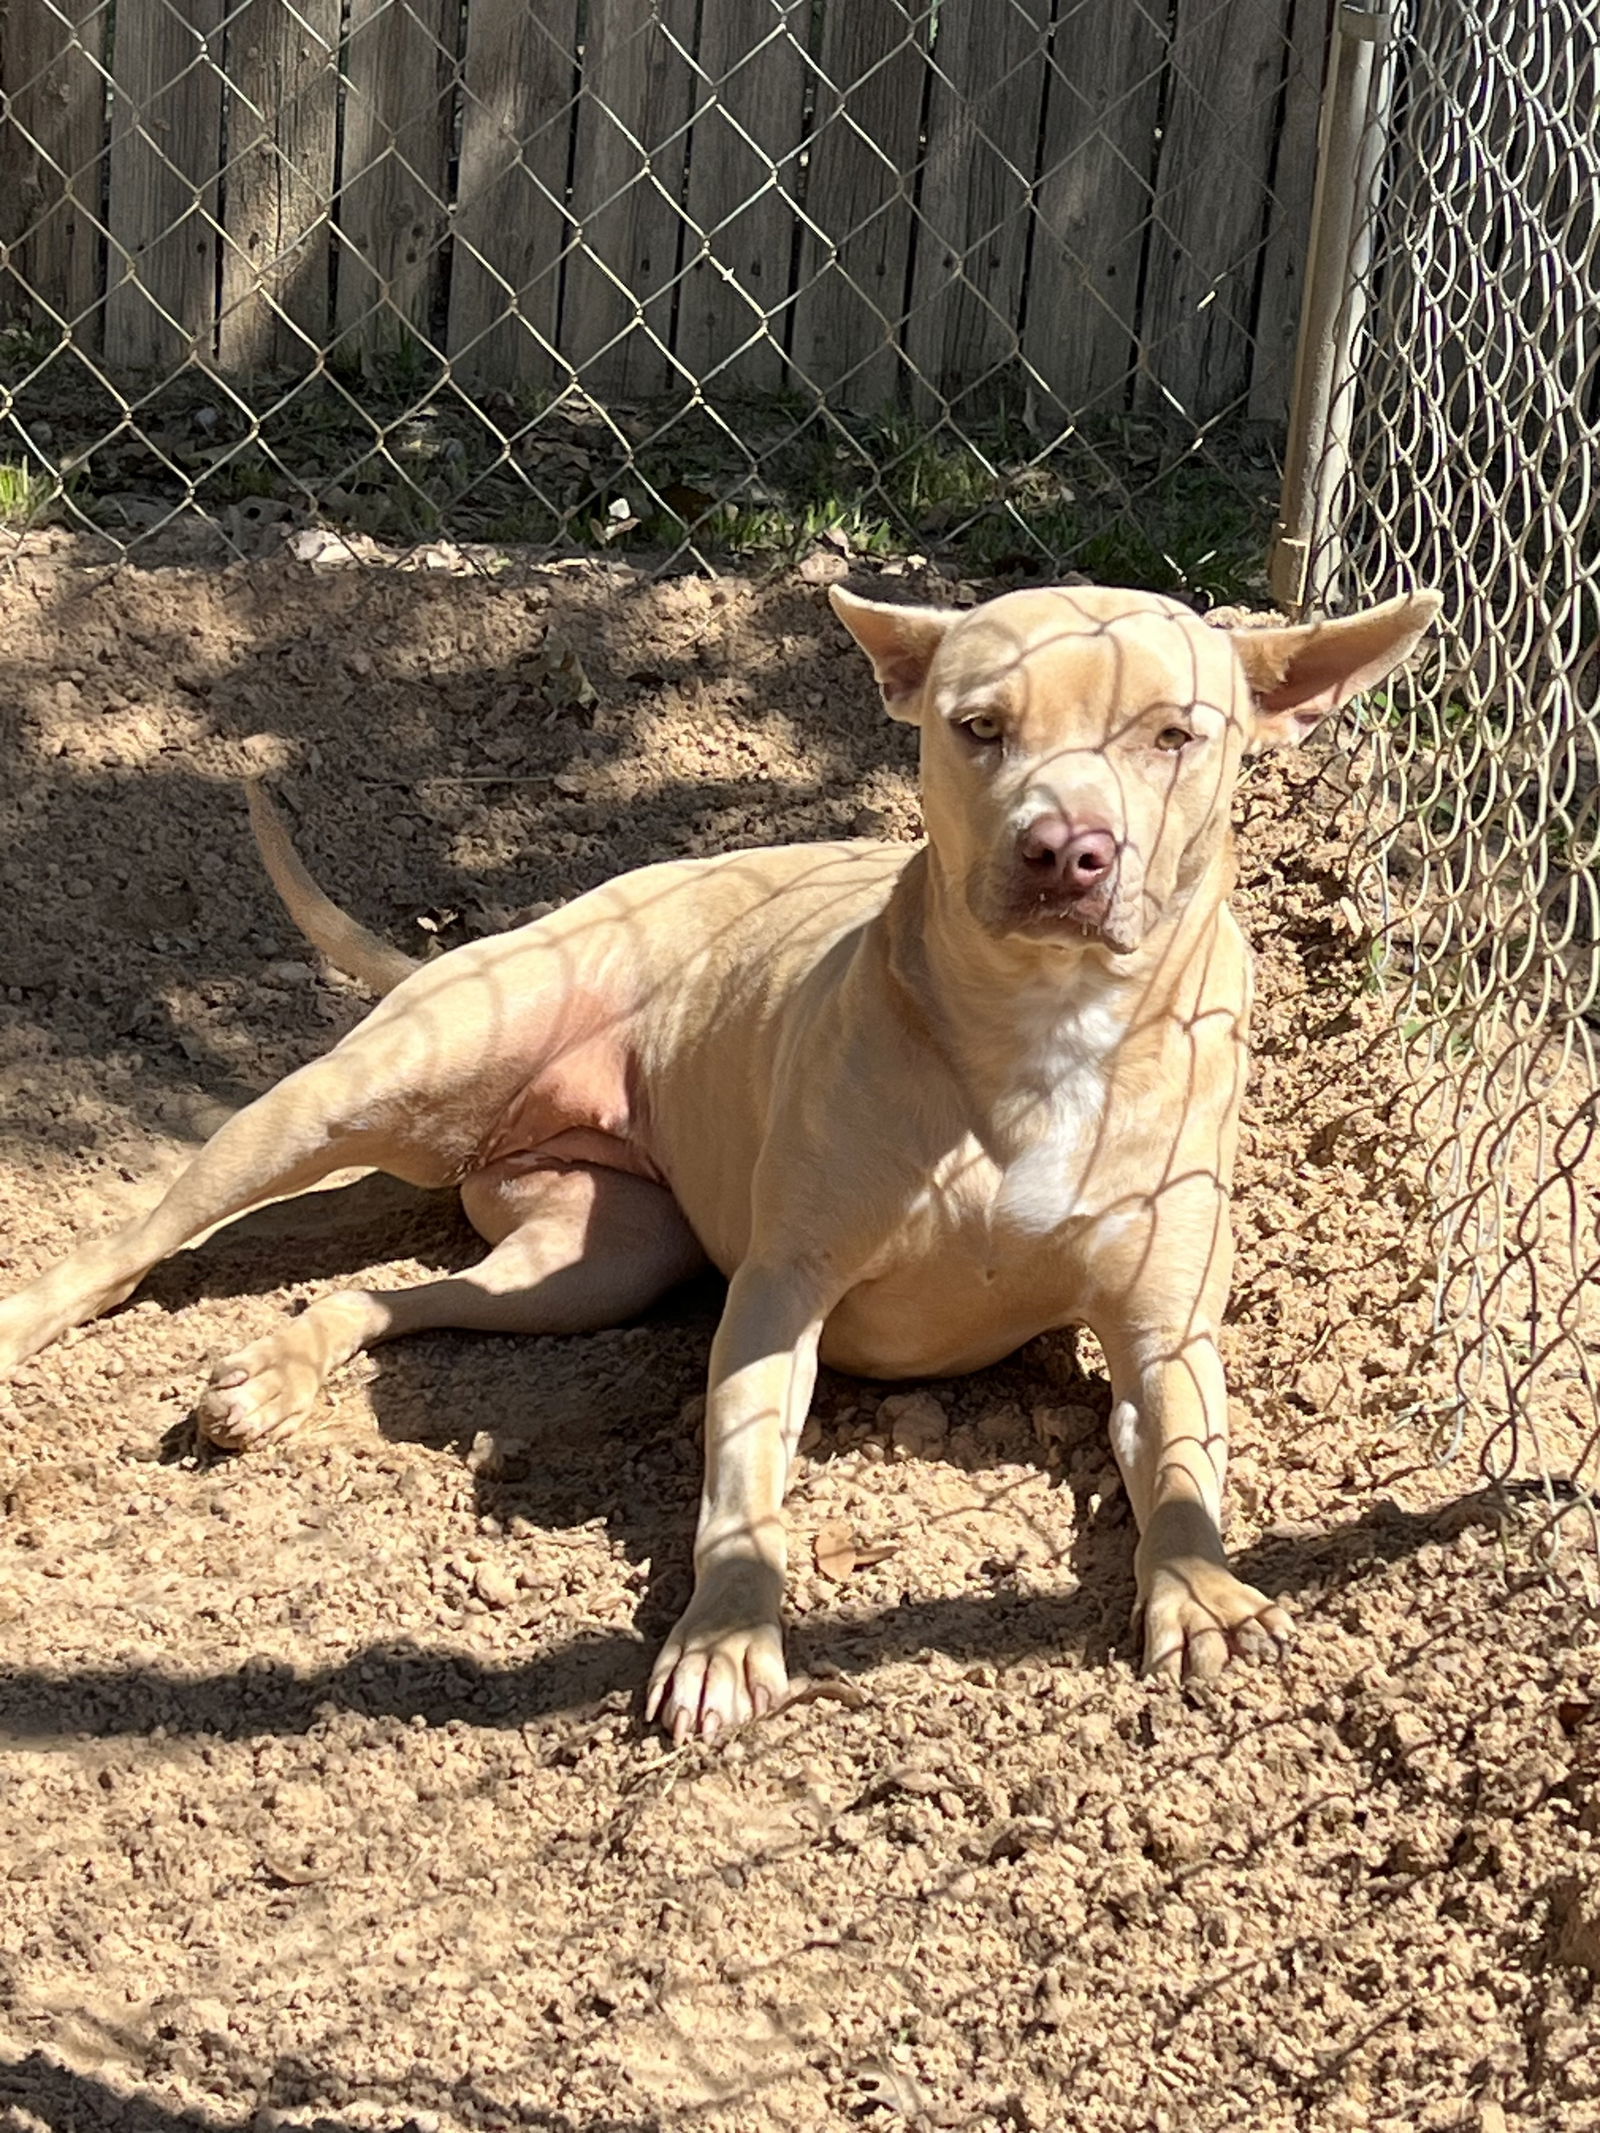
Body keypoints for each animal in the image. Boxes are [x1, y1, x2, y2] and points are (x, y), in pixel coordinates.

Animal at [0, 580, 1442, 1731]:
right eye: (979, 728)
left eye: (1171, 736)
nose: (1065, 851)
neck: (1042, 1036)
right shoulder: (778, 1298)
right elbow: (744, 1484)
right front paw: (726, 1638)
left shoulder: (1162, 1339)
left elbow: (1186, 1470)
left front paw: (1200, 1591)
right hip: (358, 1093)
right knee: (144, 1236)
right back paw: (41, 1318)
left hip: (597, 1264)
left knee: (386, 1297)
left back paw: (279, 1370)